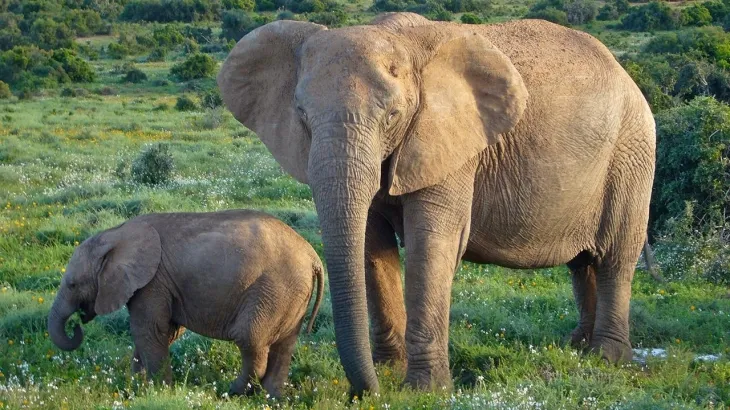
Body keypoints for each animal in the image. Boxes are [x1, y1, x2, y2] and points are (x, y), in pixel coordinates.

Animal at [49, 211, 322, 398]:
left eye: (72, 285)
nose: (77, 325)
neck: (115, 234)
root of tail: (313, 256)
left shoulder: (152, 282)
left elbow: (149, 330)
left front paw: (157, 391)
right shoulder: (162, 285)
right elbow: (165, 332)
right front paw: (137, 385)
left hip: (274, 289)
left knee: (250, 339)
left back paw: (230, 392)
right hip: (292, 294)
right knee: (284, 344)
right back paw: (270, 398)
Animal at [216, 12, 656, 398]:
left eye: (393, 115)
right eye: (302, 115)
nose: (365, 393)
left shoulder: (451, 143)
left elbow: (432, 246)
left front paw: (424, 389)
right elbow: (372, 248)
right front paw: (390, 371)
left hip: (632, 152)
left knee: (616, 256)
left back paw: (607, 357)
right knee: (582, 263)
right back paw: (577, 347)